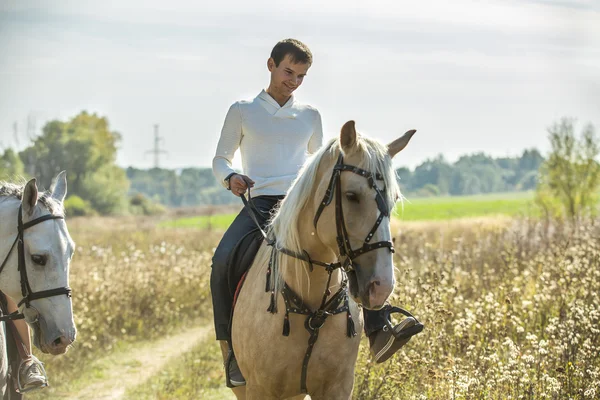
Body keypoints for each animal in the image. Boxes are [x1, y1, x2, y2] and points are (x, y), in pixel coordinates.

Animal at [231, 120, 418, 398]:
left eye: (392, 200)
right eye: (351, 196)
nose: (381, 287)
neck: (313, 306)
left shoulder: (337, 387)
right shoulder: (259, 389)